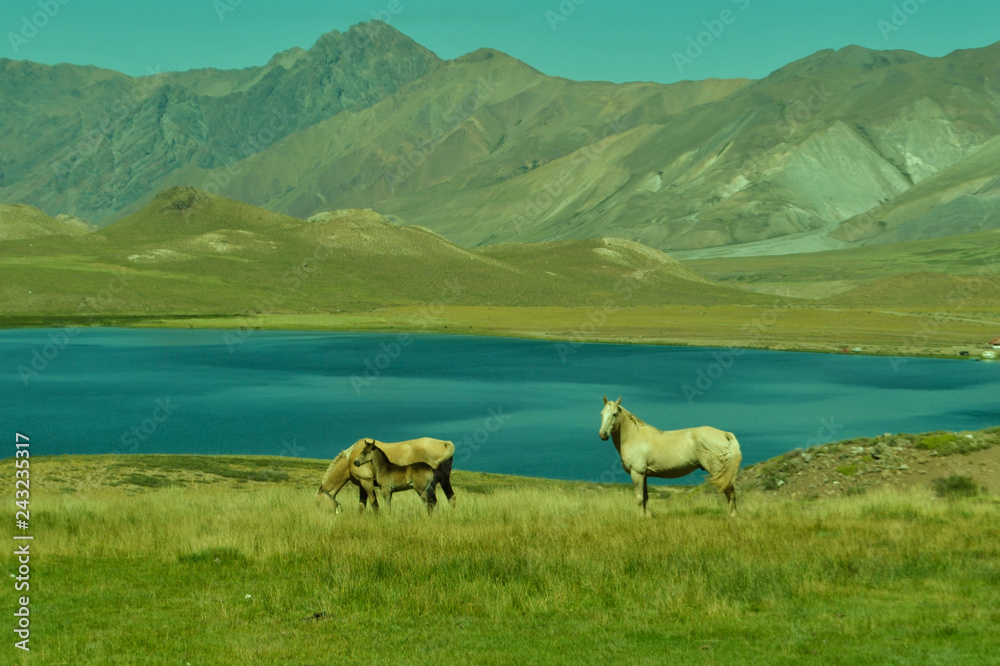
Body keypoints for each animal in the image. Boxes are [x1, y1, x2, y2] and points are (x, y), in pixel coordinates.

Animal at [317, 437, 456, 514]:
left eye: (318, 504)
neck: (350, 459)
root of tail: (443, 443)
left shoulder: (367, 482)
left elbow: (374, 504)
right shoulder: (362, 485)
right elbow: (362, 506)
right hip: (444, 481)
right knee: (450, 498)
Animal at [598, 395, 741, 517]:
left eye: (614, 414)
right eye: (602, 414)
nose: (602, 434)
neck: (634, 437)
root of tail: (724, 434)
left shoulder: (637, 473)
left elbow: (639, 498)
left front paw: (640, 518)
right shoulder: (644, 474)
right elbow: (645, 497)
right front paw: (648, 517)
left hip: (718, 471)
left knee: (729, 491)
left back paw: (732, 516)